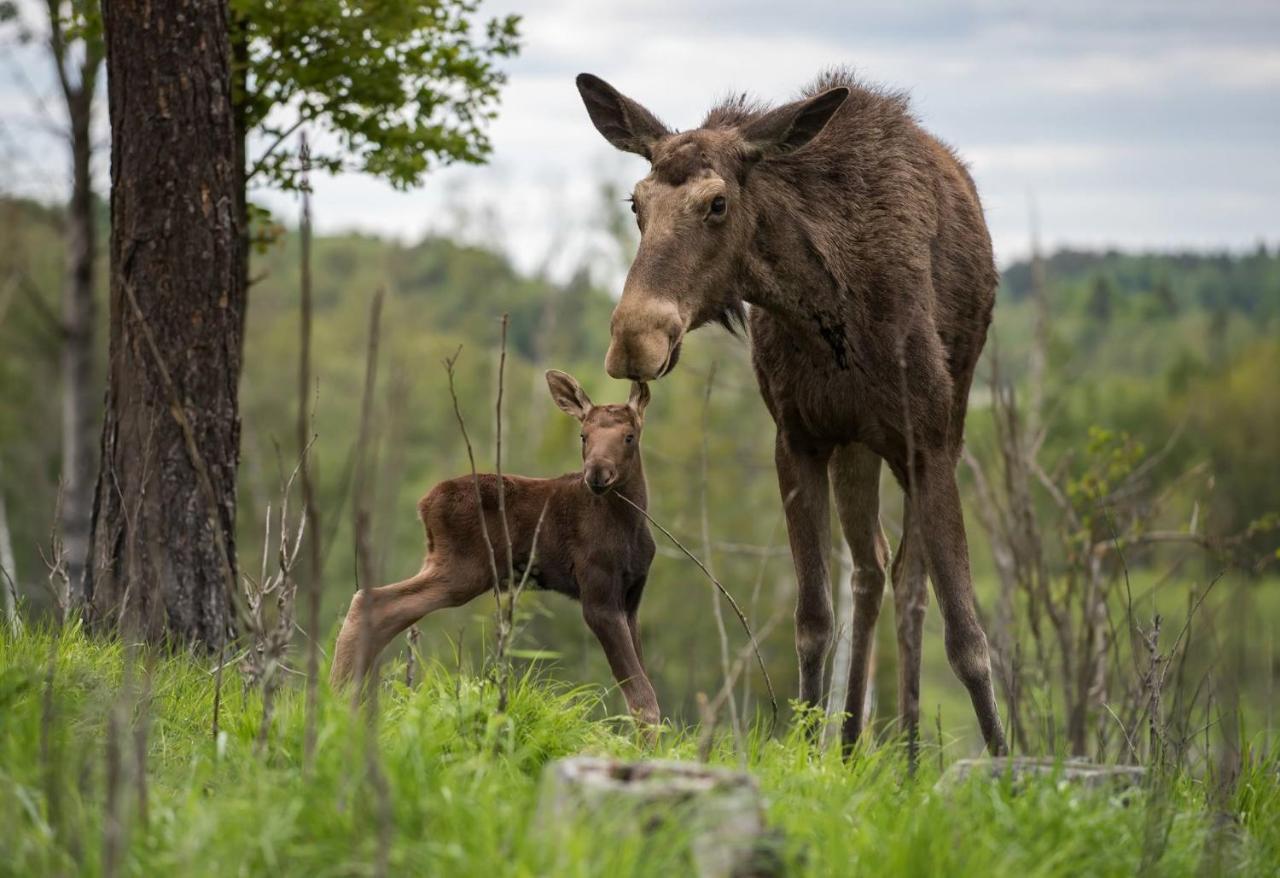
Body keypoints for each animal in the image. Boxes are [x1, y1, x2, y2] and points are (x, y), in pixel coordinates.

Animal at [330, 368, 660, 726]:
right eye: (584, 435)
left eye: (629, 436)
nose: (597, 473)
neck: (630, 525)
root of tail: (423, 505)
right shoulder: (597, 592)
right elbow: (643, 699)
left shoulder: (631, 598)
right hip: (463, 569)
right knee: (375, 602)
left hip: (443, 563)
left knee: (381, 607)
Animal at [581, 68, 1008, 757]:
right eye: (636, 204)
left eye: (717, 203)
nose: (632, 341)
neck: (829, 306)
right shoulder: (798, 438)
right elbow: (813, 619)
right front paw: (809, 751)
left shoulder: (929, 443)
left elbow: (968, 639)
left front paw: (1010, 765)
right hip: (857, 445)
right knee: (871, 566)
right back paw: (853, 743)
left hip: (944, 420)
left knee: (911, 584)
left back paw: (910, 755)